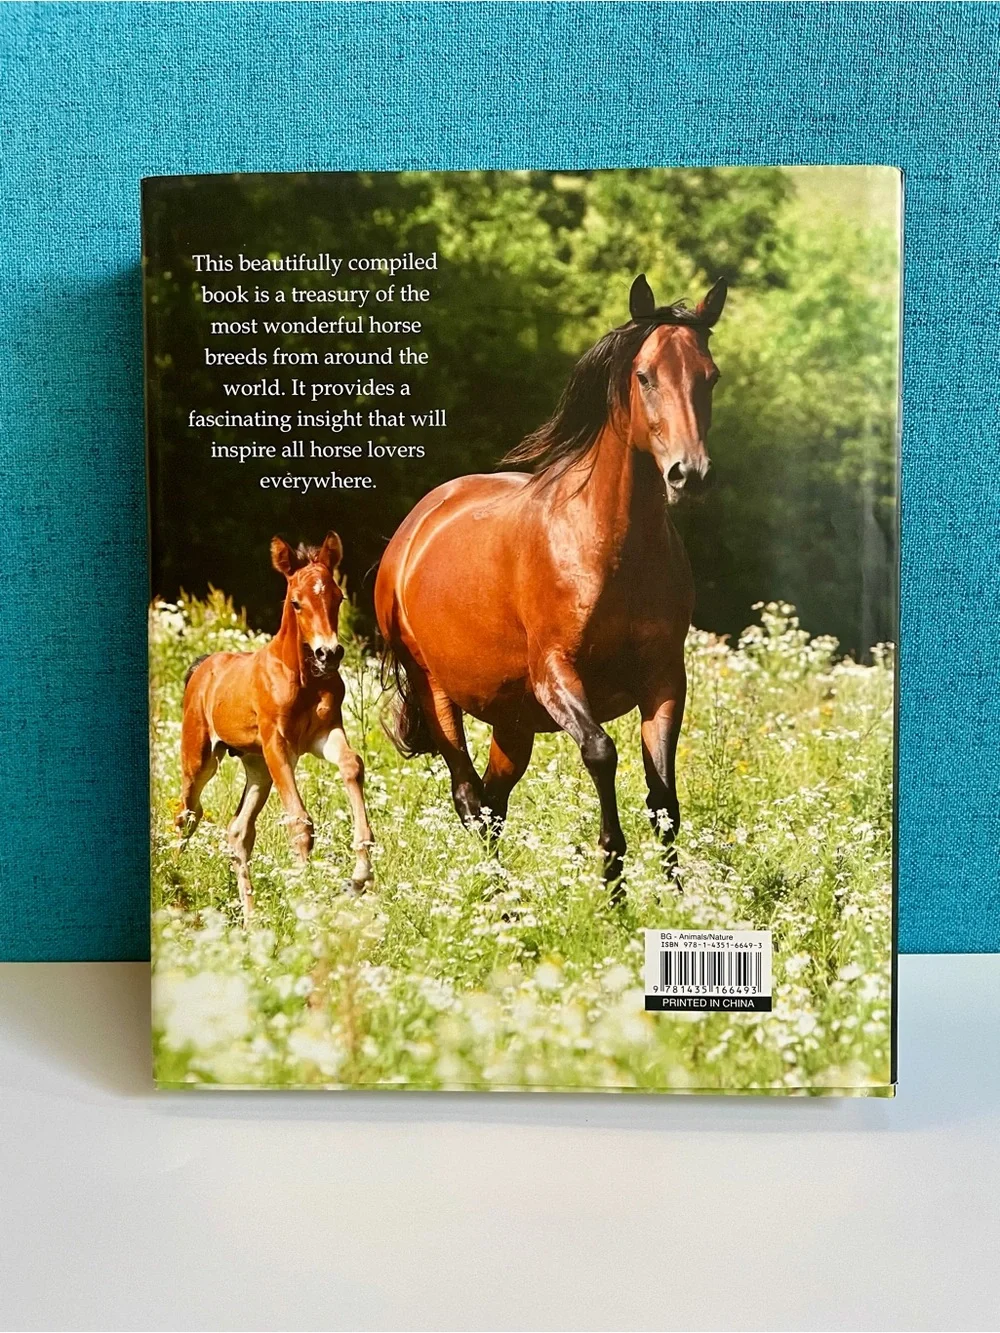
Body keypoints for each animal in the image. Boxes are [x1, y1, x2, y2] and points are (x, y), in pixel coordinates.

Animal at [176, 532, 373, 921]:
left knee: (238, 832)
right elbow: (299, 821)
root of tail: (203, 667)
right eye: (296, 602)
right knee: (187, 813)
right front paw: (308, 901)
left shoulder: (324, 735)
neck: (302, 677)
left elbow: (351, 764)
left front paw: (360, 874)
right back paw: (172, 889)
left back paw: (252, 920)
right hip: (200, 758)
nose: (329, 653)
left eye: (338, 597)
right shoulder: (277, 743)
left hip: (257, 768)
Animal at [374, 273, 726, 890]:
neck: (612, 547)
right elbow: (602, 753)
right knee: (468, 796)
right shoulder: (557, 673)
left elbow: (663, 795)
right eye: (644, 375)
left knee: (492, 804)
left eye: (710, 376)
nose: (690, 473)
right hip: (436, 692)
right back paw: (495, 896)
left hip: (511, 723)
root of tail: (413, 528)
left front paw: (677, 897)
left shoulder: (664, 680)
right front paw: (613, 880)